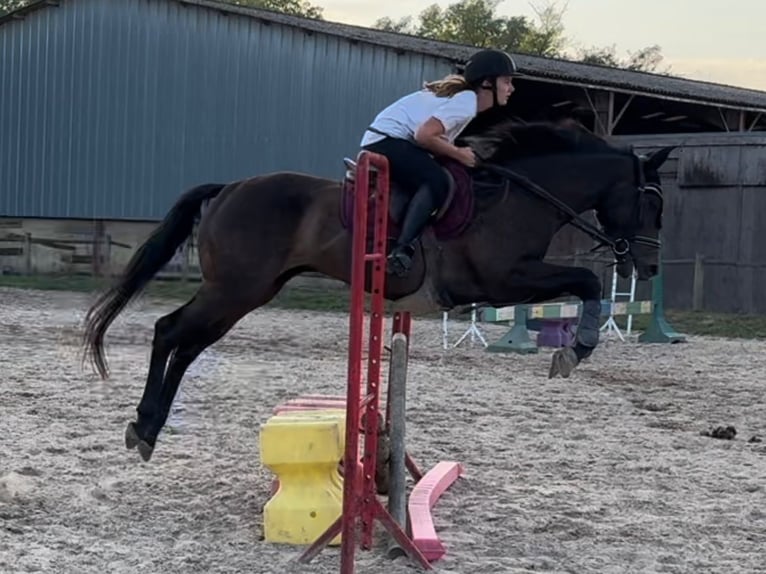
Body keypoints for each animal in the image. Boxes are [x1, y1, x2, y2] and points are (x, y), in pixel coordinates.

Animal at [81, 119, 676, 466]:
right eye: (651, 203)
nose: (648, 264)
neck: (525, 197)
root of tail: (228, 188)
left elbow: (585, 283)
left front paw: (575, 349)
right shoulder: (501, 279)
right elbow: (588, 281)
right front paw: (575, 351)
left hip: (247, 292)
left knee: (187, 343)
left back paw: (148, 428)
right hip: (234, 289)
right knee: (170, 332)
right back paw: (144, 425)